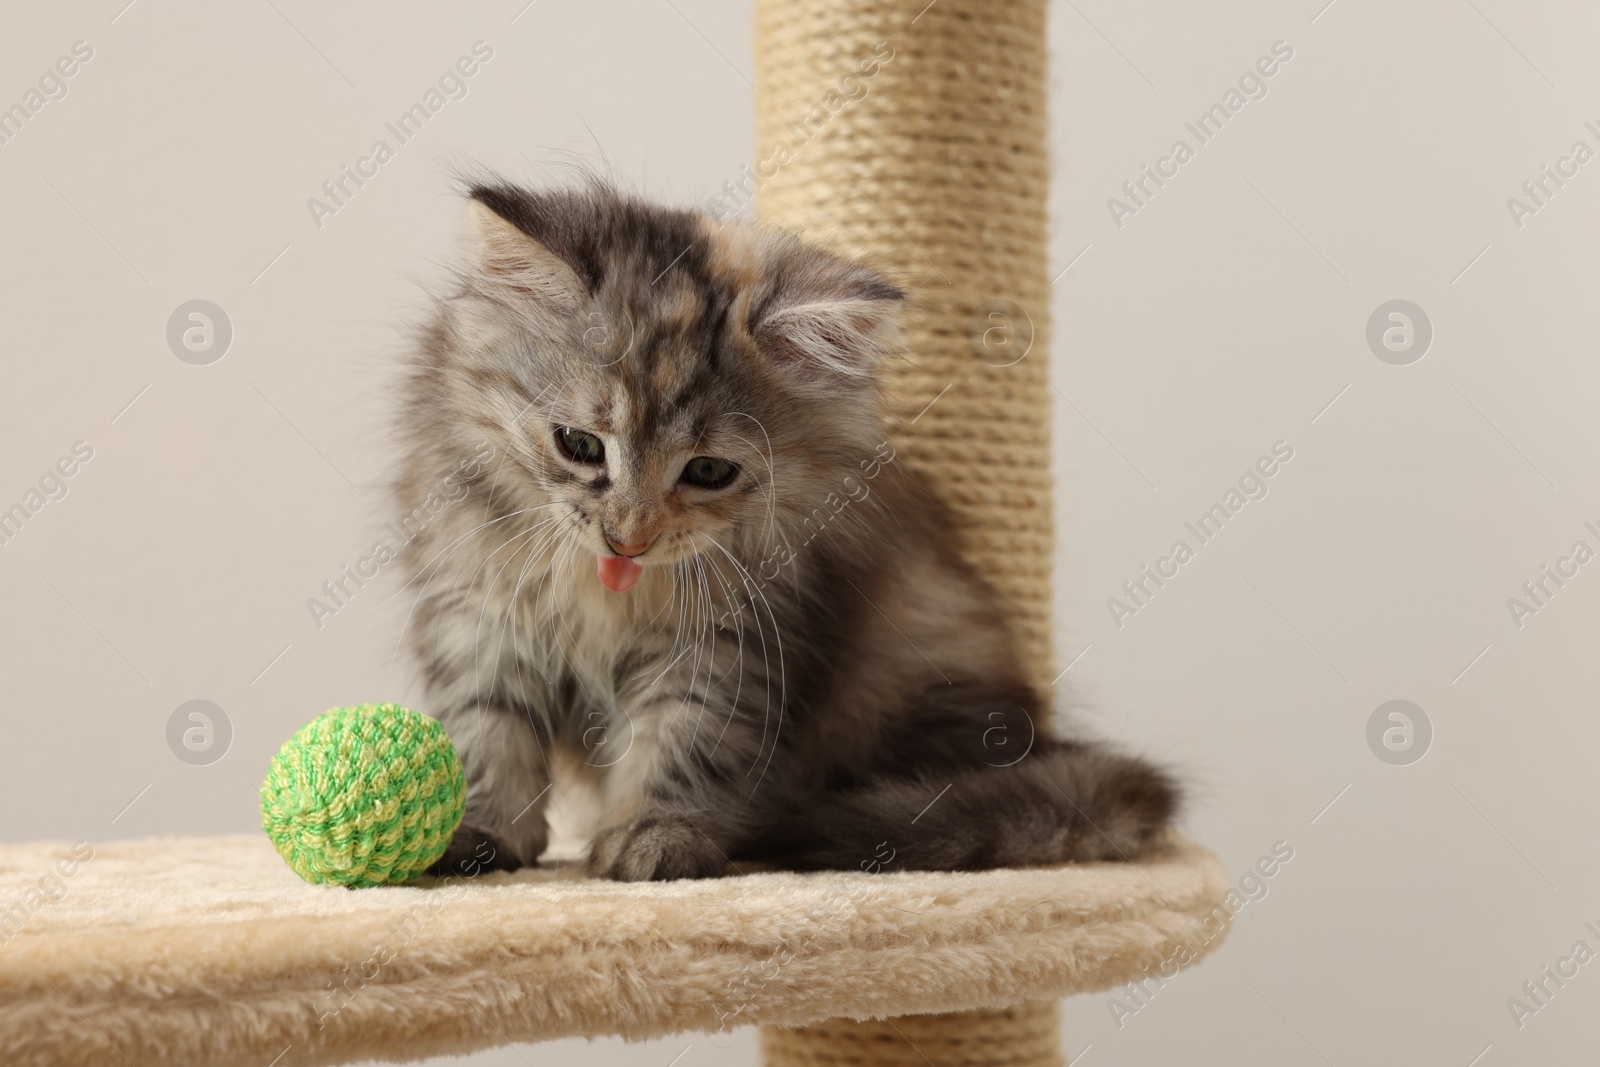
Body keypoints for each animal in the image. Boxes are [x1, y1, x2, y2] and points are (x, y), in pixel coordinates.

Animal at [400, 179, 1177, 883]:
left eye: (709, 470)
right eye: (580, 445)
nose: (628, 539)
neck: (607, 595)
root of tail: (1033, 736)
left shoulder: (728, 642)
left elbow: (678, 738)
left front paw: (658, 835)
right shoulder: (480, 616)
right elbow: (487, 734)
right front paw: (479, 835)